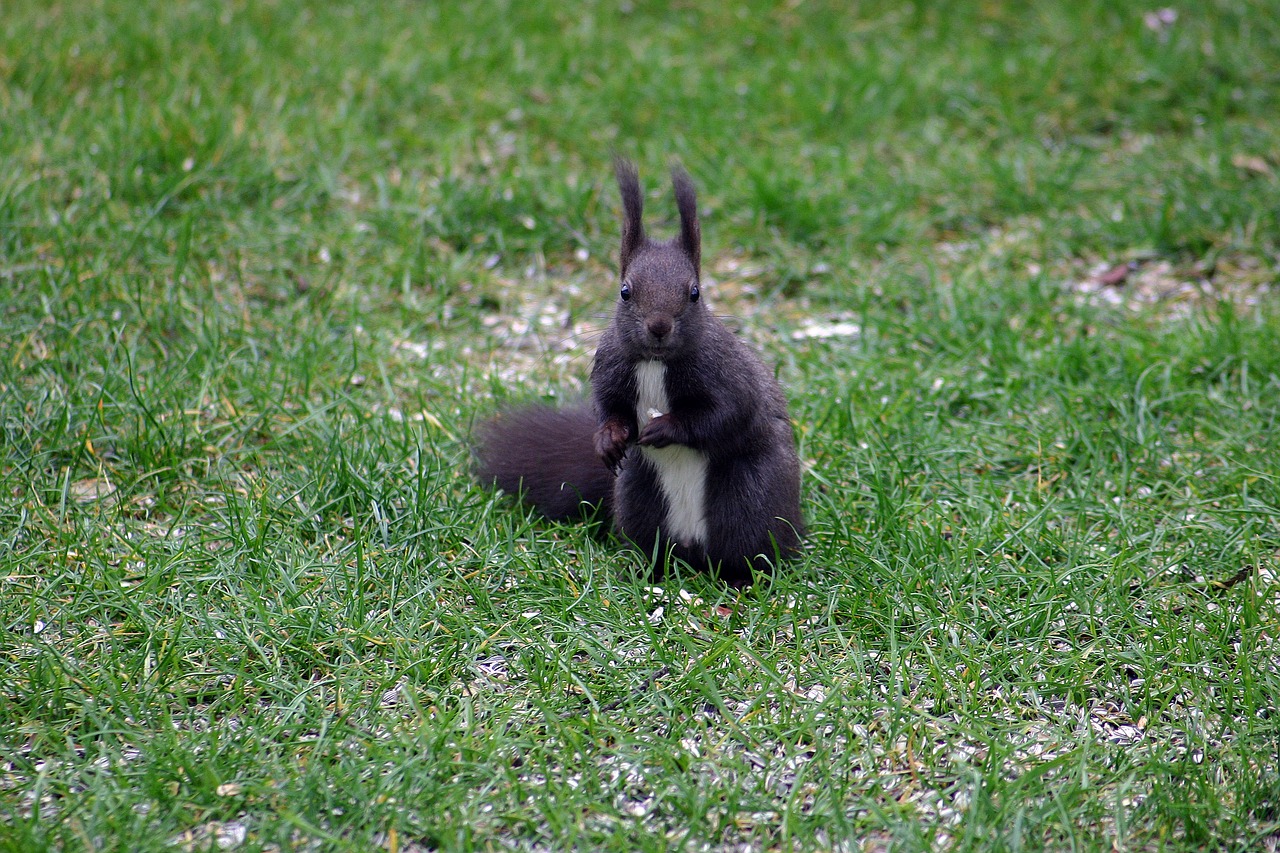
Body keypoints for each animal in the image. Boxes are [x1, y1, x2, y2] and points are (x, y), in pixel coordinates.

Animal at [476, 157, 803, 584]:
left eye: (695, 293)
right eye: (625, 291)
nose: (659, 326)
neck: (655, 362)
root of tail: (693, 551)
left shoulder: (727, 377)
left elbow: (724, 414)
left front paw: (662, 429)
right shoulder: (610, 369)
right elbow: (608, 407)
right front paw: (609, 438)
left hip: (749, 501)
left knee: (749, 549)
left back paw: (740, 579)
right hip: (637, 499)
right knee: (652, 544)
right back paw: (646, 571)